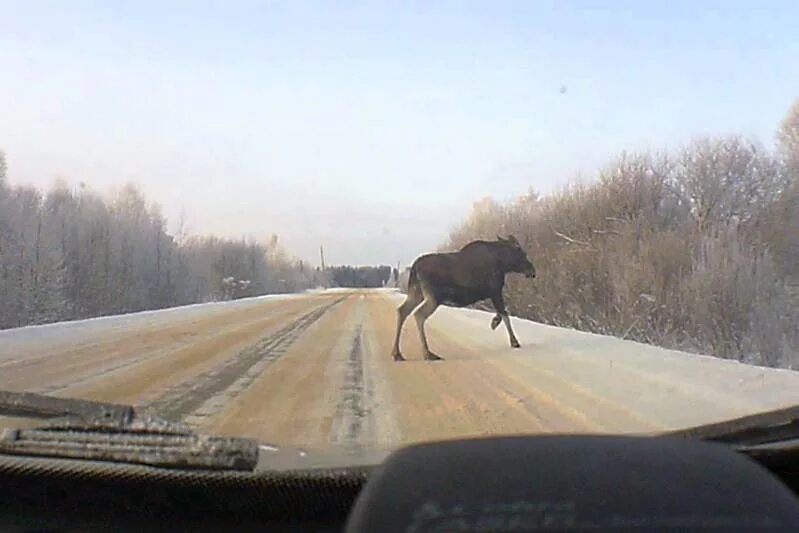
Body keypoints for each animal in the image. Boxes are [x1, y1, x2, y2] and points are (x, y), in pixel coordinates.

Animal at [394, 235, 536, 360]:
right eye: (522, 253)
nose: (532, 270)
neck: (503, 263)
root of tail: (414, 267)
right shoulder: (495, 291)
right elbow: (505, 315)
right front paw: (514, 341)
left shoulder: (492, 293)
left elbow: (501, 313)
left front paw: (494, 322)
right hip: (434, 297)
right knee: (419, 314)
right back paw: (428, 353)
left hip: (416, 292)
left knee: (402, 310)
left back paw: (397, 353)